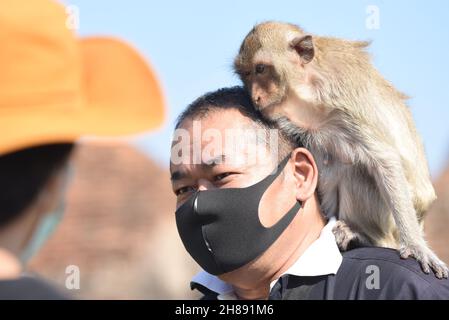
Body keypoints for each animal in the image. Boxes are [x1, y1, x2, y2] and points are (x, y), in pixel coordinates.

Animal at [233, 21, 446, 278]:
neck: (308, 88)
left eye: (261, 69)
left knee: (353, 169)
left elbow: (385, 160)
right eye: (245, 74)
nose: (255, 96)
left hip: (386, 226)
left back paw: (362, 235)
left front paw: (415, 245)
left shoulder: (346, 103)